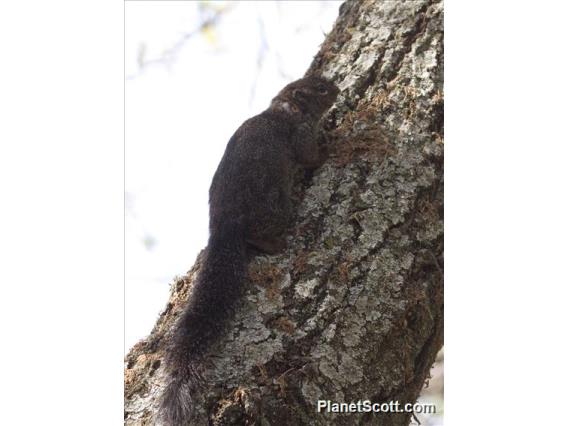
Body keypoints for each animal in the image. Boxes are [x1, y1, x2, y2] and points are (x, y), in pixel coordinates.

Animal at [158, 75, 340, 424]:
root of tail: (223, 228)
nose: (336, 88)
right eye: (321, 89)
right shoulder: (300, 133)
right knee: (261, 238)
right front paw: (334, 142)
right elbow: (310, 157)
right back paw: (278, 241)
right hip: (275, 206)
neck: (285, 107)